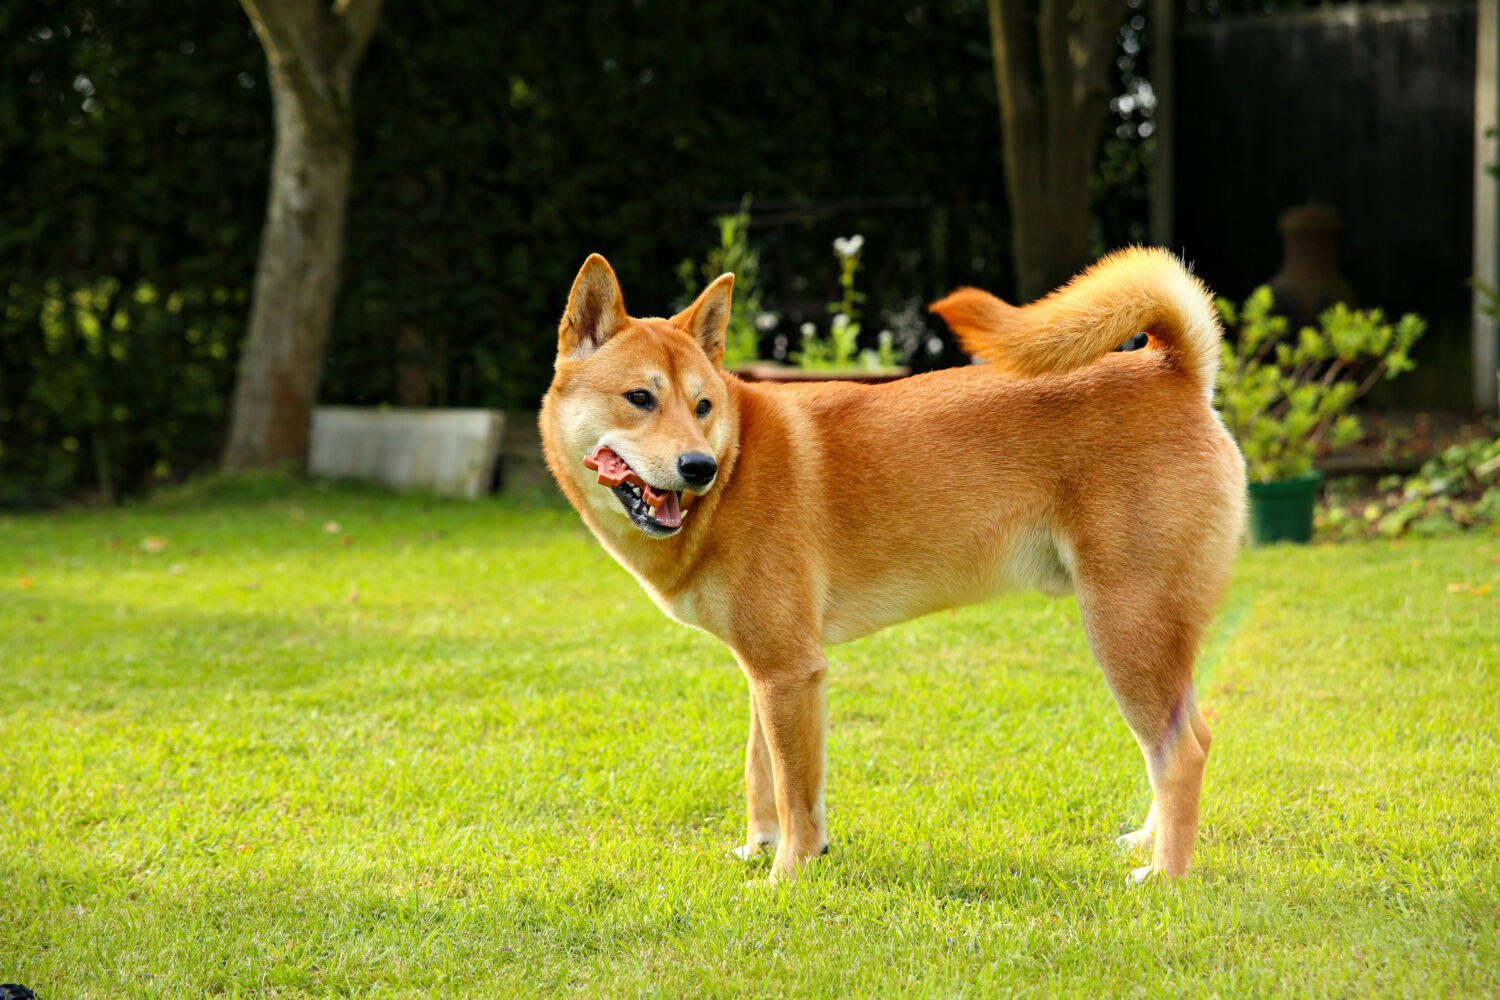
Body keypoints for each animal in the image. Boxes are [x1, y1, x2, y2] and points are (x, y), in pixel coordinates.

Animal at [539, 247, 1246, 885]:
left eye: (702, 406)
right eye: (639, 398)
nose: (698, 467)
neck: (737, 462)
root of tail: (1173, 369)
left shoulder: (789, 672)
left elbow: (794, 792)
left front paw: (787, 874)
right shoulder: (765, 670)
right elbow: (759, 774)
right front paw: (758, 849)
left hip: (1125, 630)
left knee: (1182, 753)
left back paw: (1165, 875)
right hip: (1148, 637)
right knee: (1179, 741)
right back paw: (1147, 843)